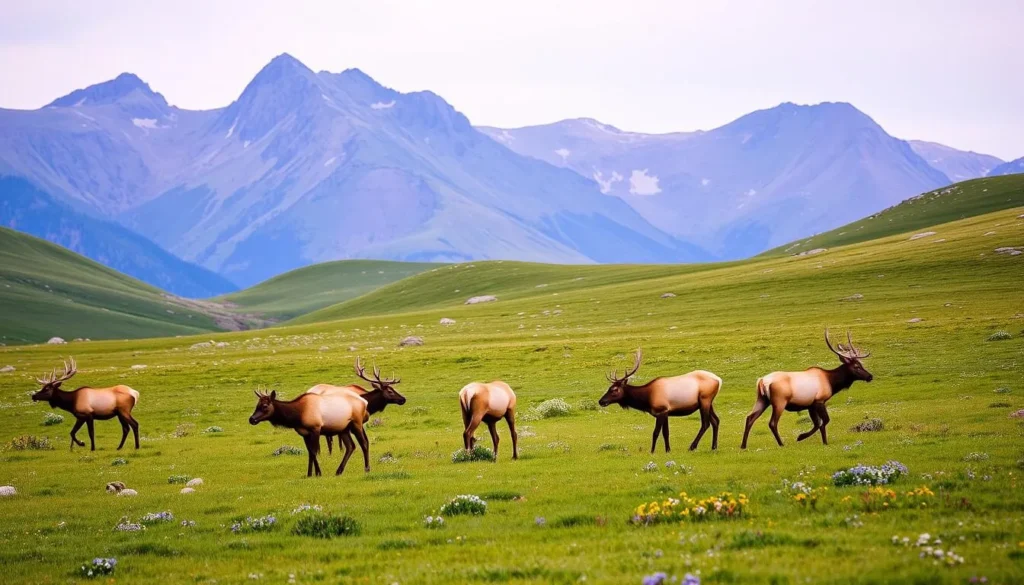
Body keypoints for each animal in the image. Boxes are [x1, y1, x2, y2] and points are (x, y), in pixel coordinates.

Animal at [741, 328, 873, 449]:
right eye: (856, 366)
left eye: (861, 364)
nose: (870, 376)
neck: (832, 382)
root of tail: (762, 381)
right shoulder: (819, 400)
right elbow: (824, 421)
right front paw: (815, 440)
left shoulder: (811, 405)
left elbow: (817, 423)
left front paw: (803, 437)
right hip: (779, 401)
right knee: (772, 423)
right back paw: (781, 443)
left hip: (762, 400)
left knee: (750, 418)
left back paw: (743, 445)